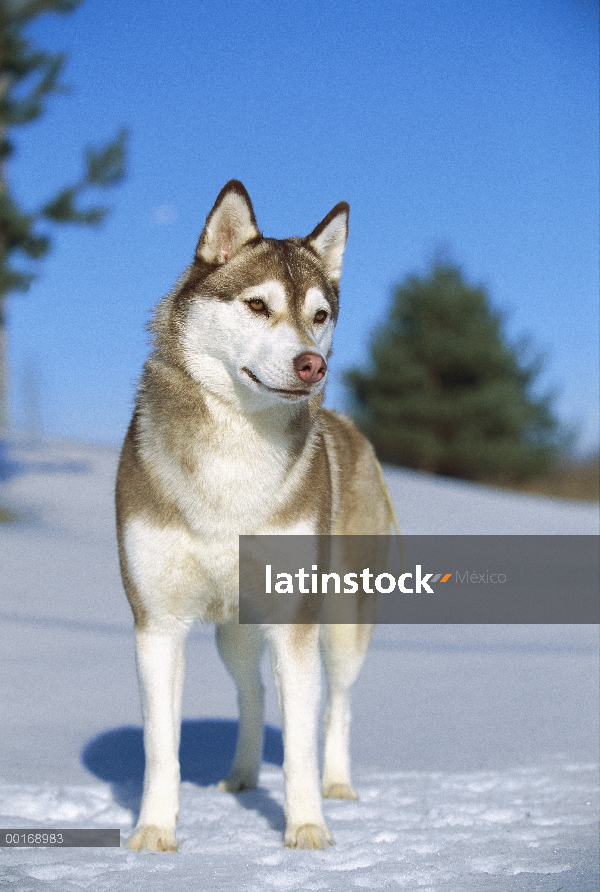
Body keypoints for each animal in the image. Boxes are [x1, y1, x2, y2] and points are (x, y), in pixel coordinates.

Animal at [115, 179, 392, 852]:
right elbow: (161, 746)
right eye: (257, 305)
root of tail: (351, 430)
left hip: (344, 622)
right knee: (252, 694)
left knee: (336, 705)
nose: (312, 364)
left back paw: (338, 785)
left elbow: (299, 747)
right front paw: (154, 833)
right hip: (233, 631)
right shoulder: (157, 623)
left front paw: (308, 829)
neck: (233, 455)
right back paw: (240, 777)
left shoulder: (295, 623)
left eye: (319, 316)